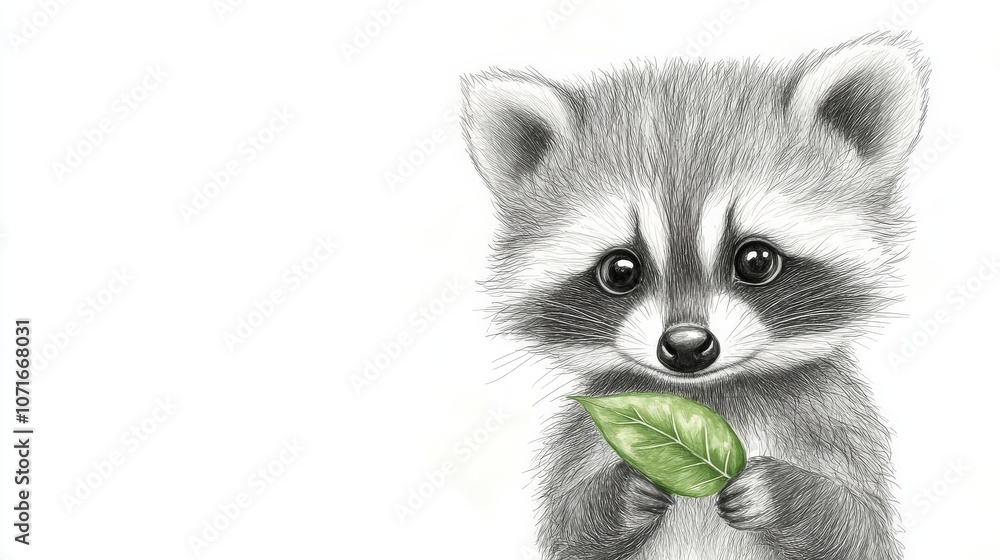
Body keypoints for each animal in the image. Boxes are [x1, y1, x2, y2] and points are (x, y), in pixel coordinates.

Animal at [461, 33, 928, 559]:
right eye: (620, 271)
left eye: (756, 261)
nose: (686, 346)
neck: (703, 398)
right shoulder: (587, 433)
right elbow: (569, 530)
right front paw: (620, 493)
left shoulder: (839, 425)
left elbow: (860, 527)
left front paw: (785, 495)